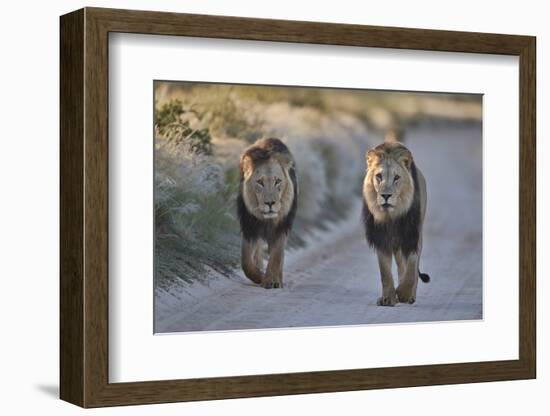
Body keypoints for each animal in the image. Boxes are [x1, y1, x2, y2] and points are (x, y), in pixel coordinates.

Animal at [236, 138, 298, 288]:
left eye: (278, 181)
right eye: (260, 182)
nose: (270, 203)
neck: (267, 220)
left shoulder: (282, 226)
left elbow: (277, 256)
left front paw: (272, 280)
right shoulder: (250, 227)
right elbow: (246, 261)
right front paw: (260, 277)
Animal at [364, 142, 434, 306]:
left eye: (396, 177)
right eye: (379, 176)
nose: (386, 196)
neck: (391, 216)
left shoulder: (412, 235)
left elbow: (412, 266)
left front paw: (404, 293)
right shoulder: (382, 238)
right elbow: (385, 272)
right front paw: (388, 298)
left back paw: (410, 296)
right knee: (400, 264)